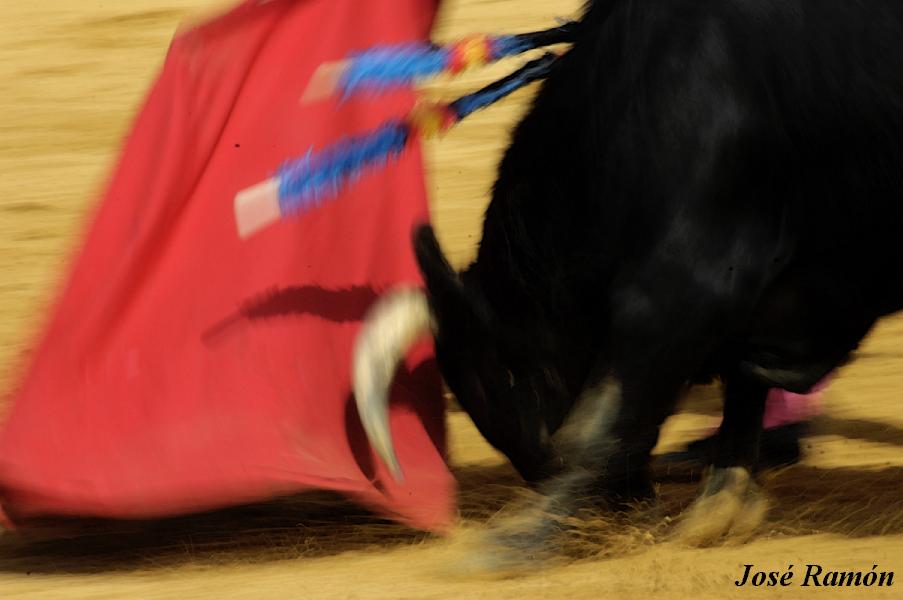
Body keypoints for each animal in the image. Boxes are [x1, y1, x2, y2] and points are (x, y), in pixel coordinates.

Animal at [352, 0, 903, 560]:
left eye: (501, 376)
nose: (617, 510)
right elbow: (740, 386)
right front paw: (718, 507)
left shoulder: (686, 280)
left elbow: (596, 419)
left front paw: (513, 543)